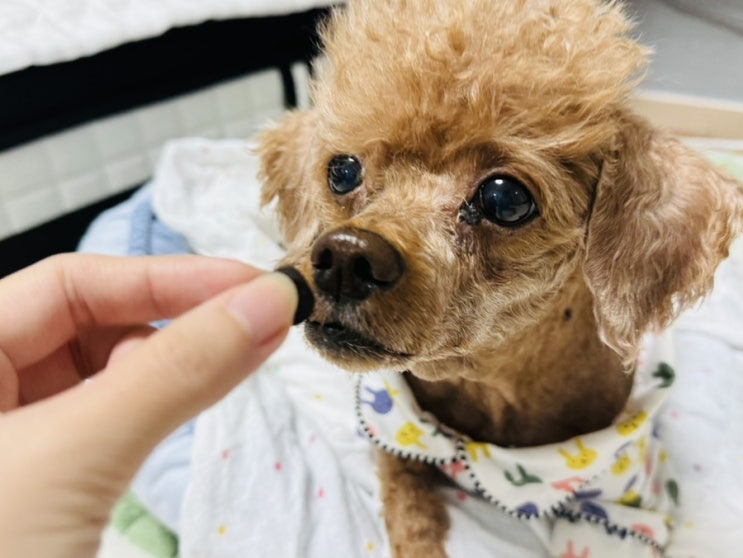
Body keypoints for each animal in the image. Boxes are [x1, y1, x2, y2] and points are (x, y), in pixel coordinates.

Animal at [257, 1, 743, 556]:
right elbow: (409, 518)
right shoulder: (394, 441)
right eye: (341, 171)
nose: (343, 257)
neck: (489, 394)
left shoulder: (627, 506)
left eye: (505, 199)